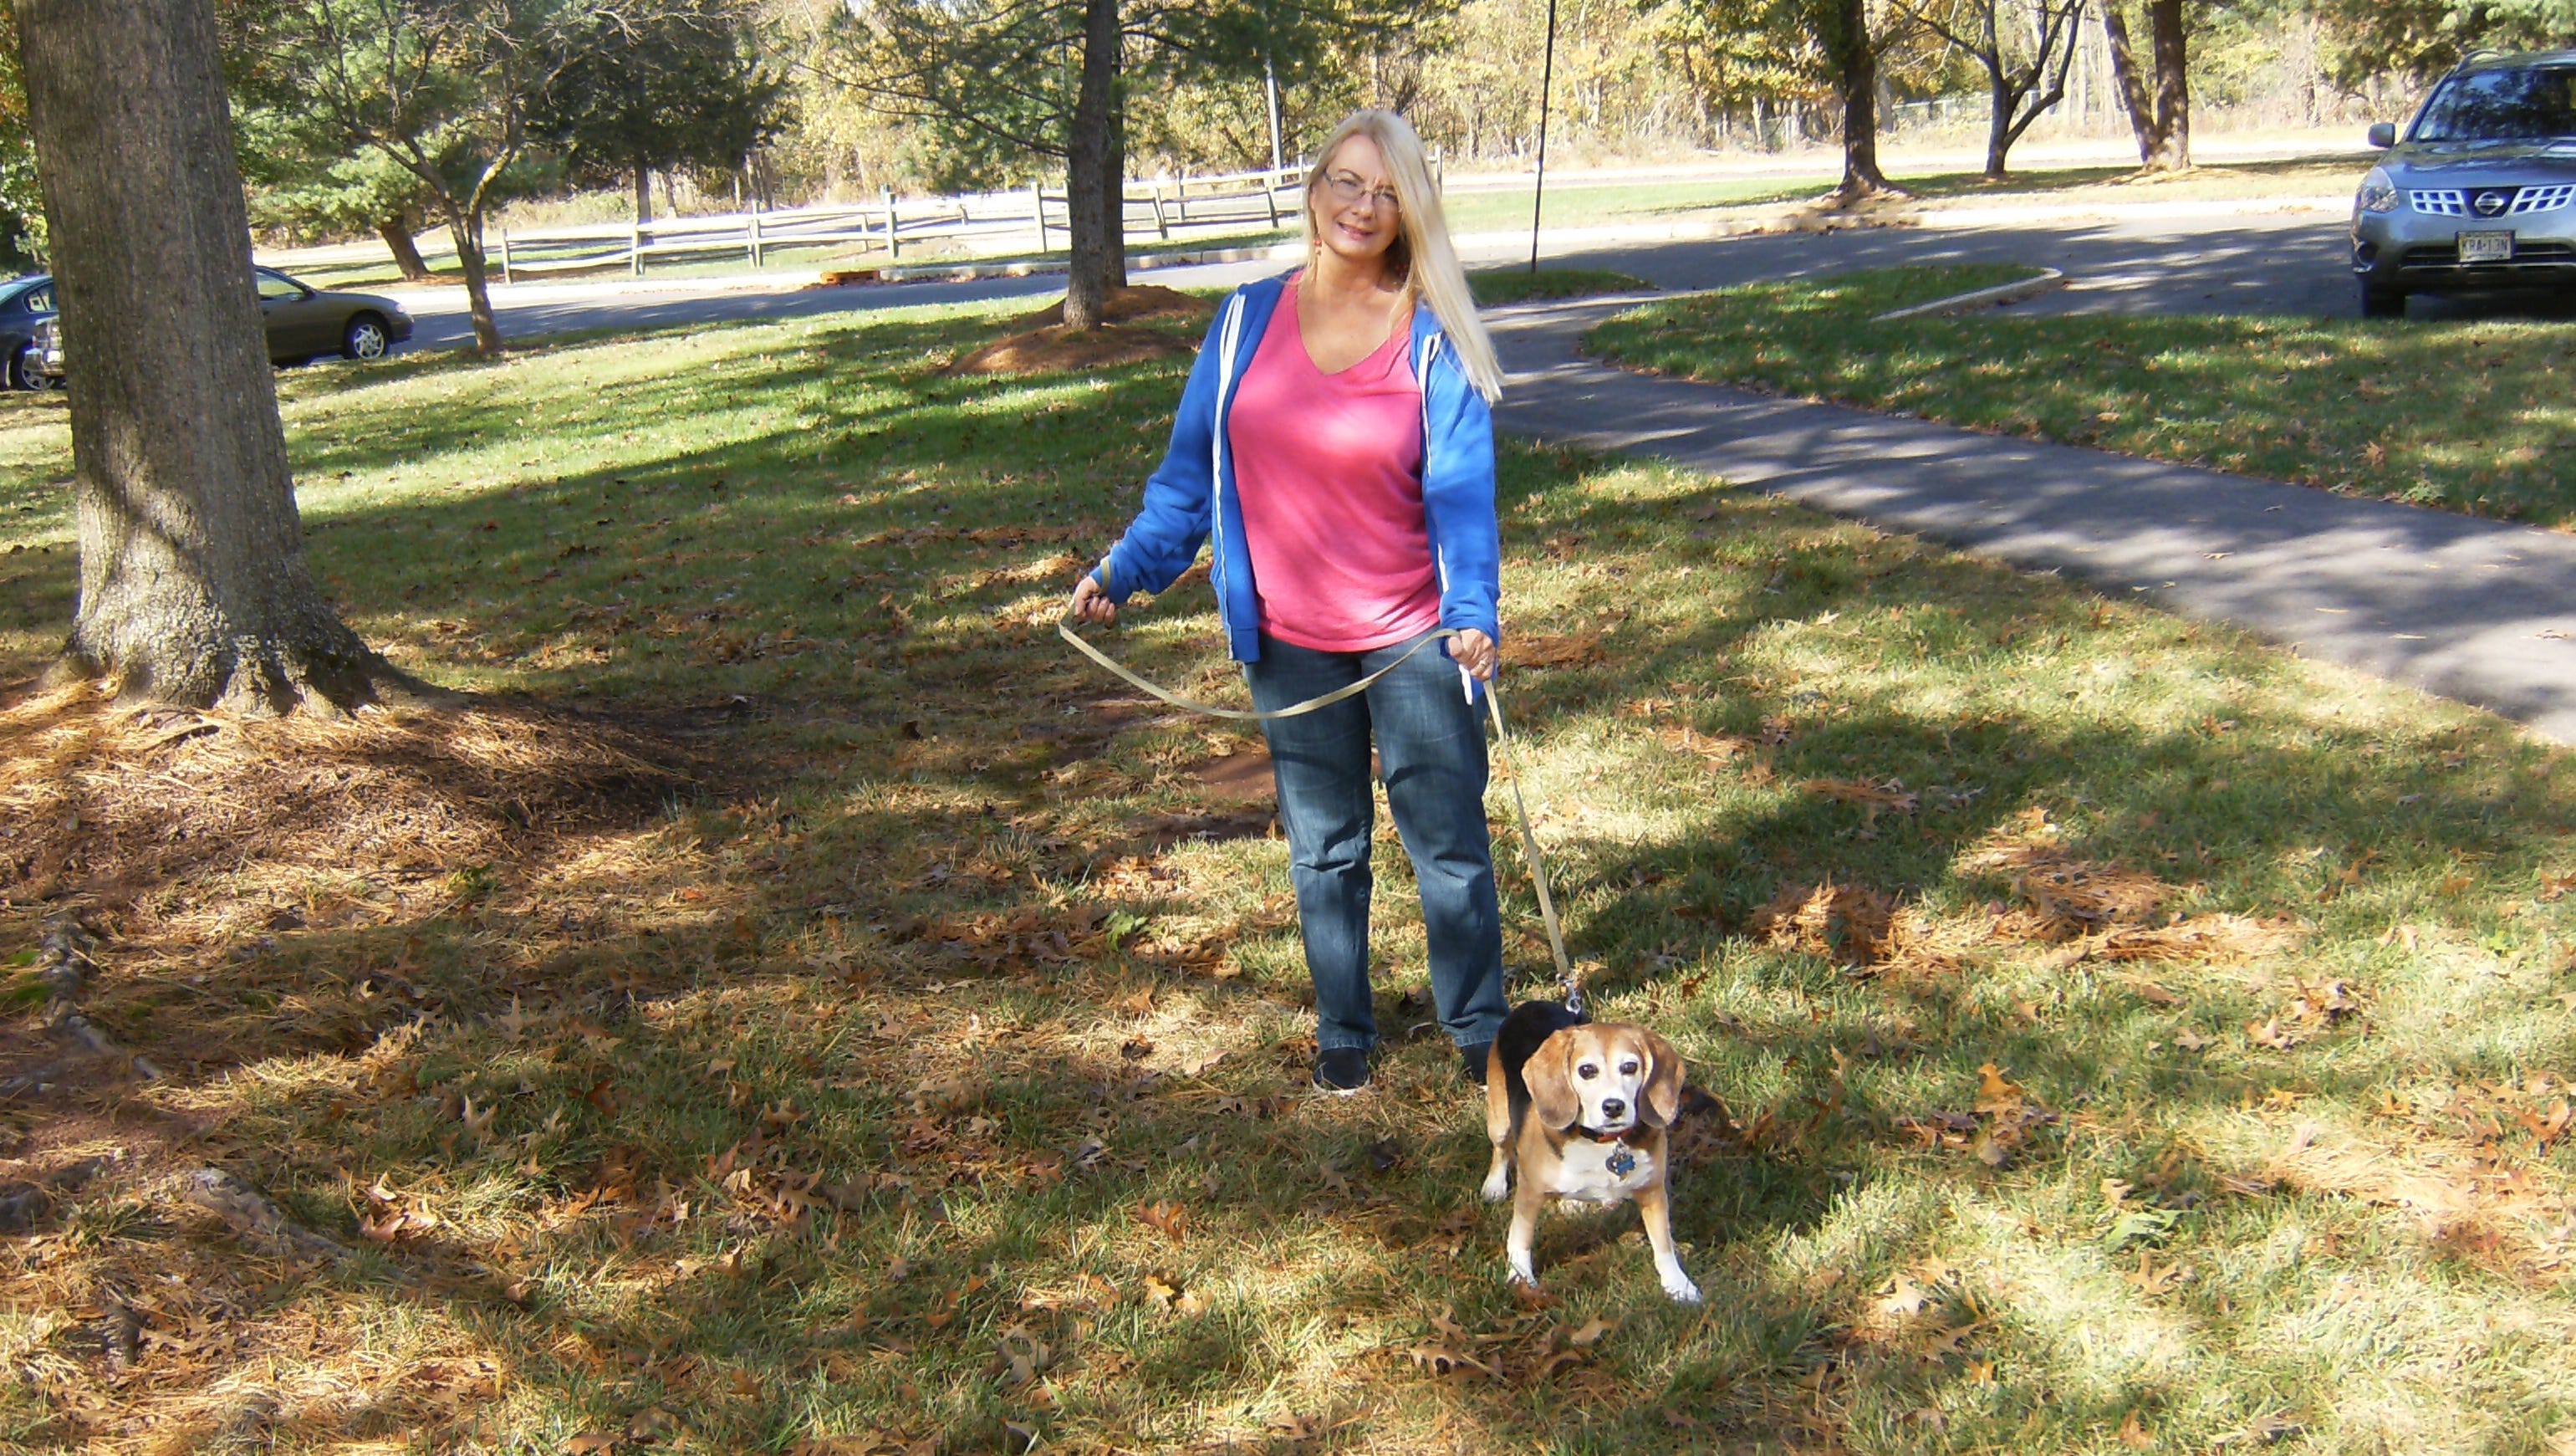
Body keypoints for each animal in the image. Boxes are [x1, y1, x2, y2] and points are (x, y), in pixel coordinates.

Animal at [1481, 1001, 1700, 1303]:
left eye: (1630, 1067)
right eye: (1587, 1071)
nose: (1614, 1107)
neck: (1602, 1142)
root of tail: (1532, 1004)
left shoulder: (1653, 1192)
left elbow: (1663, 1245)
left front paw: (1679, 1285)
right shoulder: (1530, 1193)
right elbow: (1520, 1240)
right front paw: (1520, 1279)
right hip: (1499, 1118)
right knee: (1501, 1149)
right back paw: (1494, 1185)